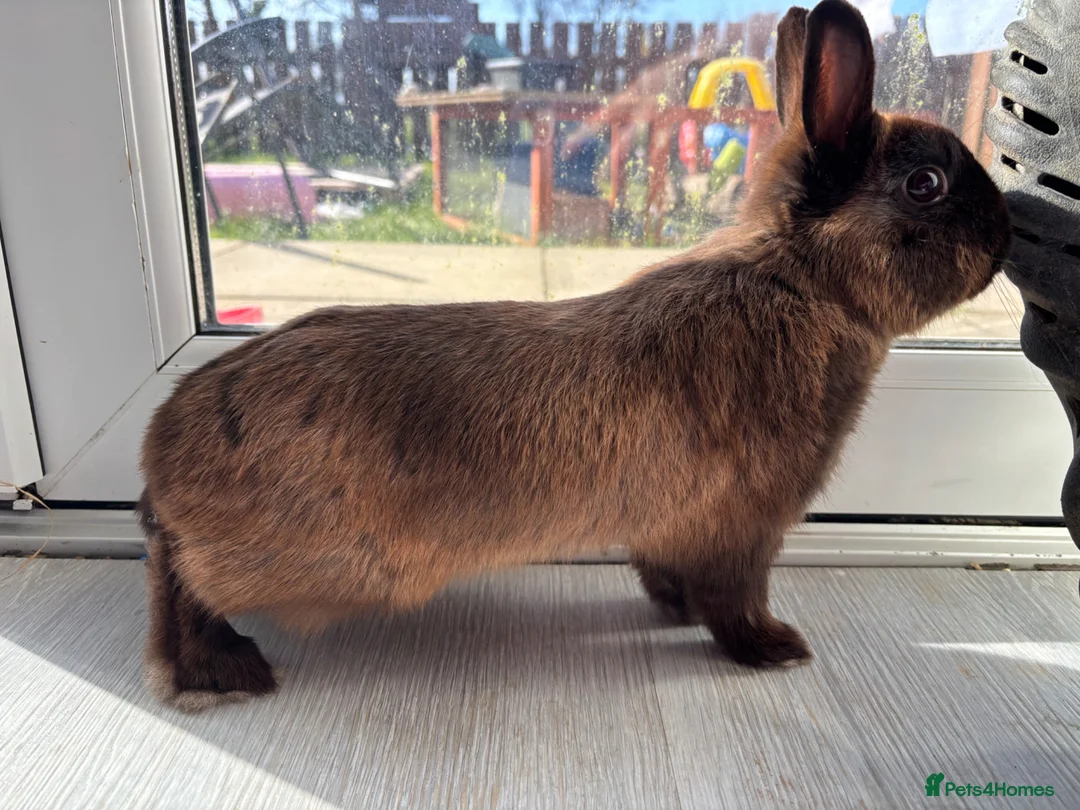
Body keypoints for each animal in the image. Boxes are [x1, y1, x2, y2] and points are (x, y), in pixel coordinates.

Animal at [138, 0, 1010, 711]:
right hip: (310, 562)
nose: (1006, 239)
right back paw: (216, 670)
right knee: (181, 573)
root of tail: (158, 451)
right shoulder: (745, 526)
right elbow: (734, 600)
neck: (800, 281)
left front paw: (677, 609)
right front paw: (773, 649)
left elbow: (668, 575)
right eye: (926, 184)